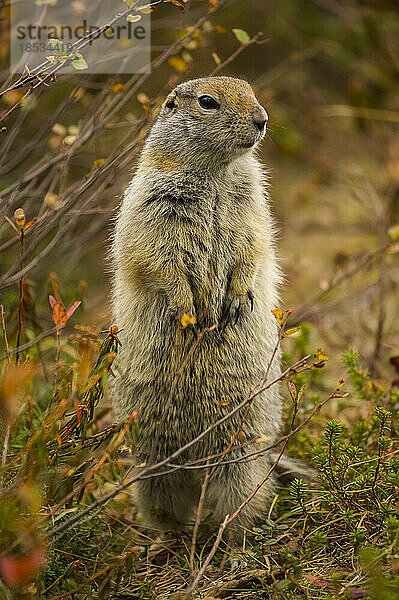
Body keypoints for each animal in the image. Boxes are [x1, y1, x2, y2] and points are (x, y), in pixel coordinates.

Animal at [111, 76, 282, 536]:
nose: (262, 118)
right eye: (207, 102)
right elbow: (157, 257)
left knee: (235, 500)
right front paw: (187, 310)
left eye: (252, 90)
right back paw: (166, 541)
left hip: (240, 461)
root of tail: (193, 466)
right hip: (150, 472)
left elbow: (253, 244)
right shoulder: (152, 204)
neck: (216, 172)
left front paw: (237, 298)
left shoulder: (253, 203)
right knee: (165, 508)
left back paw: (232, 541)